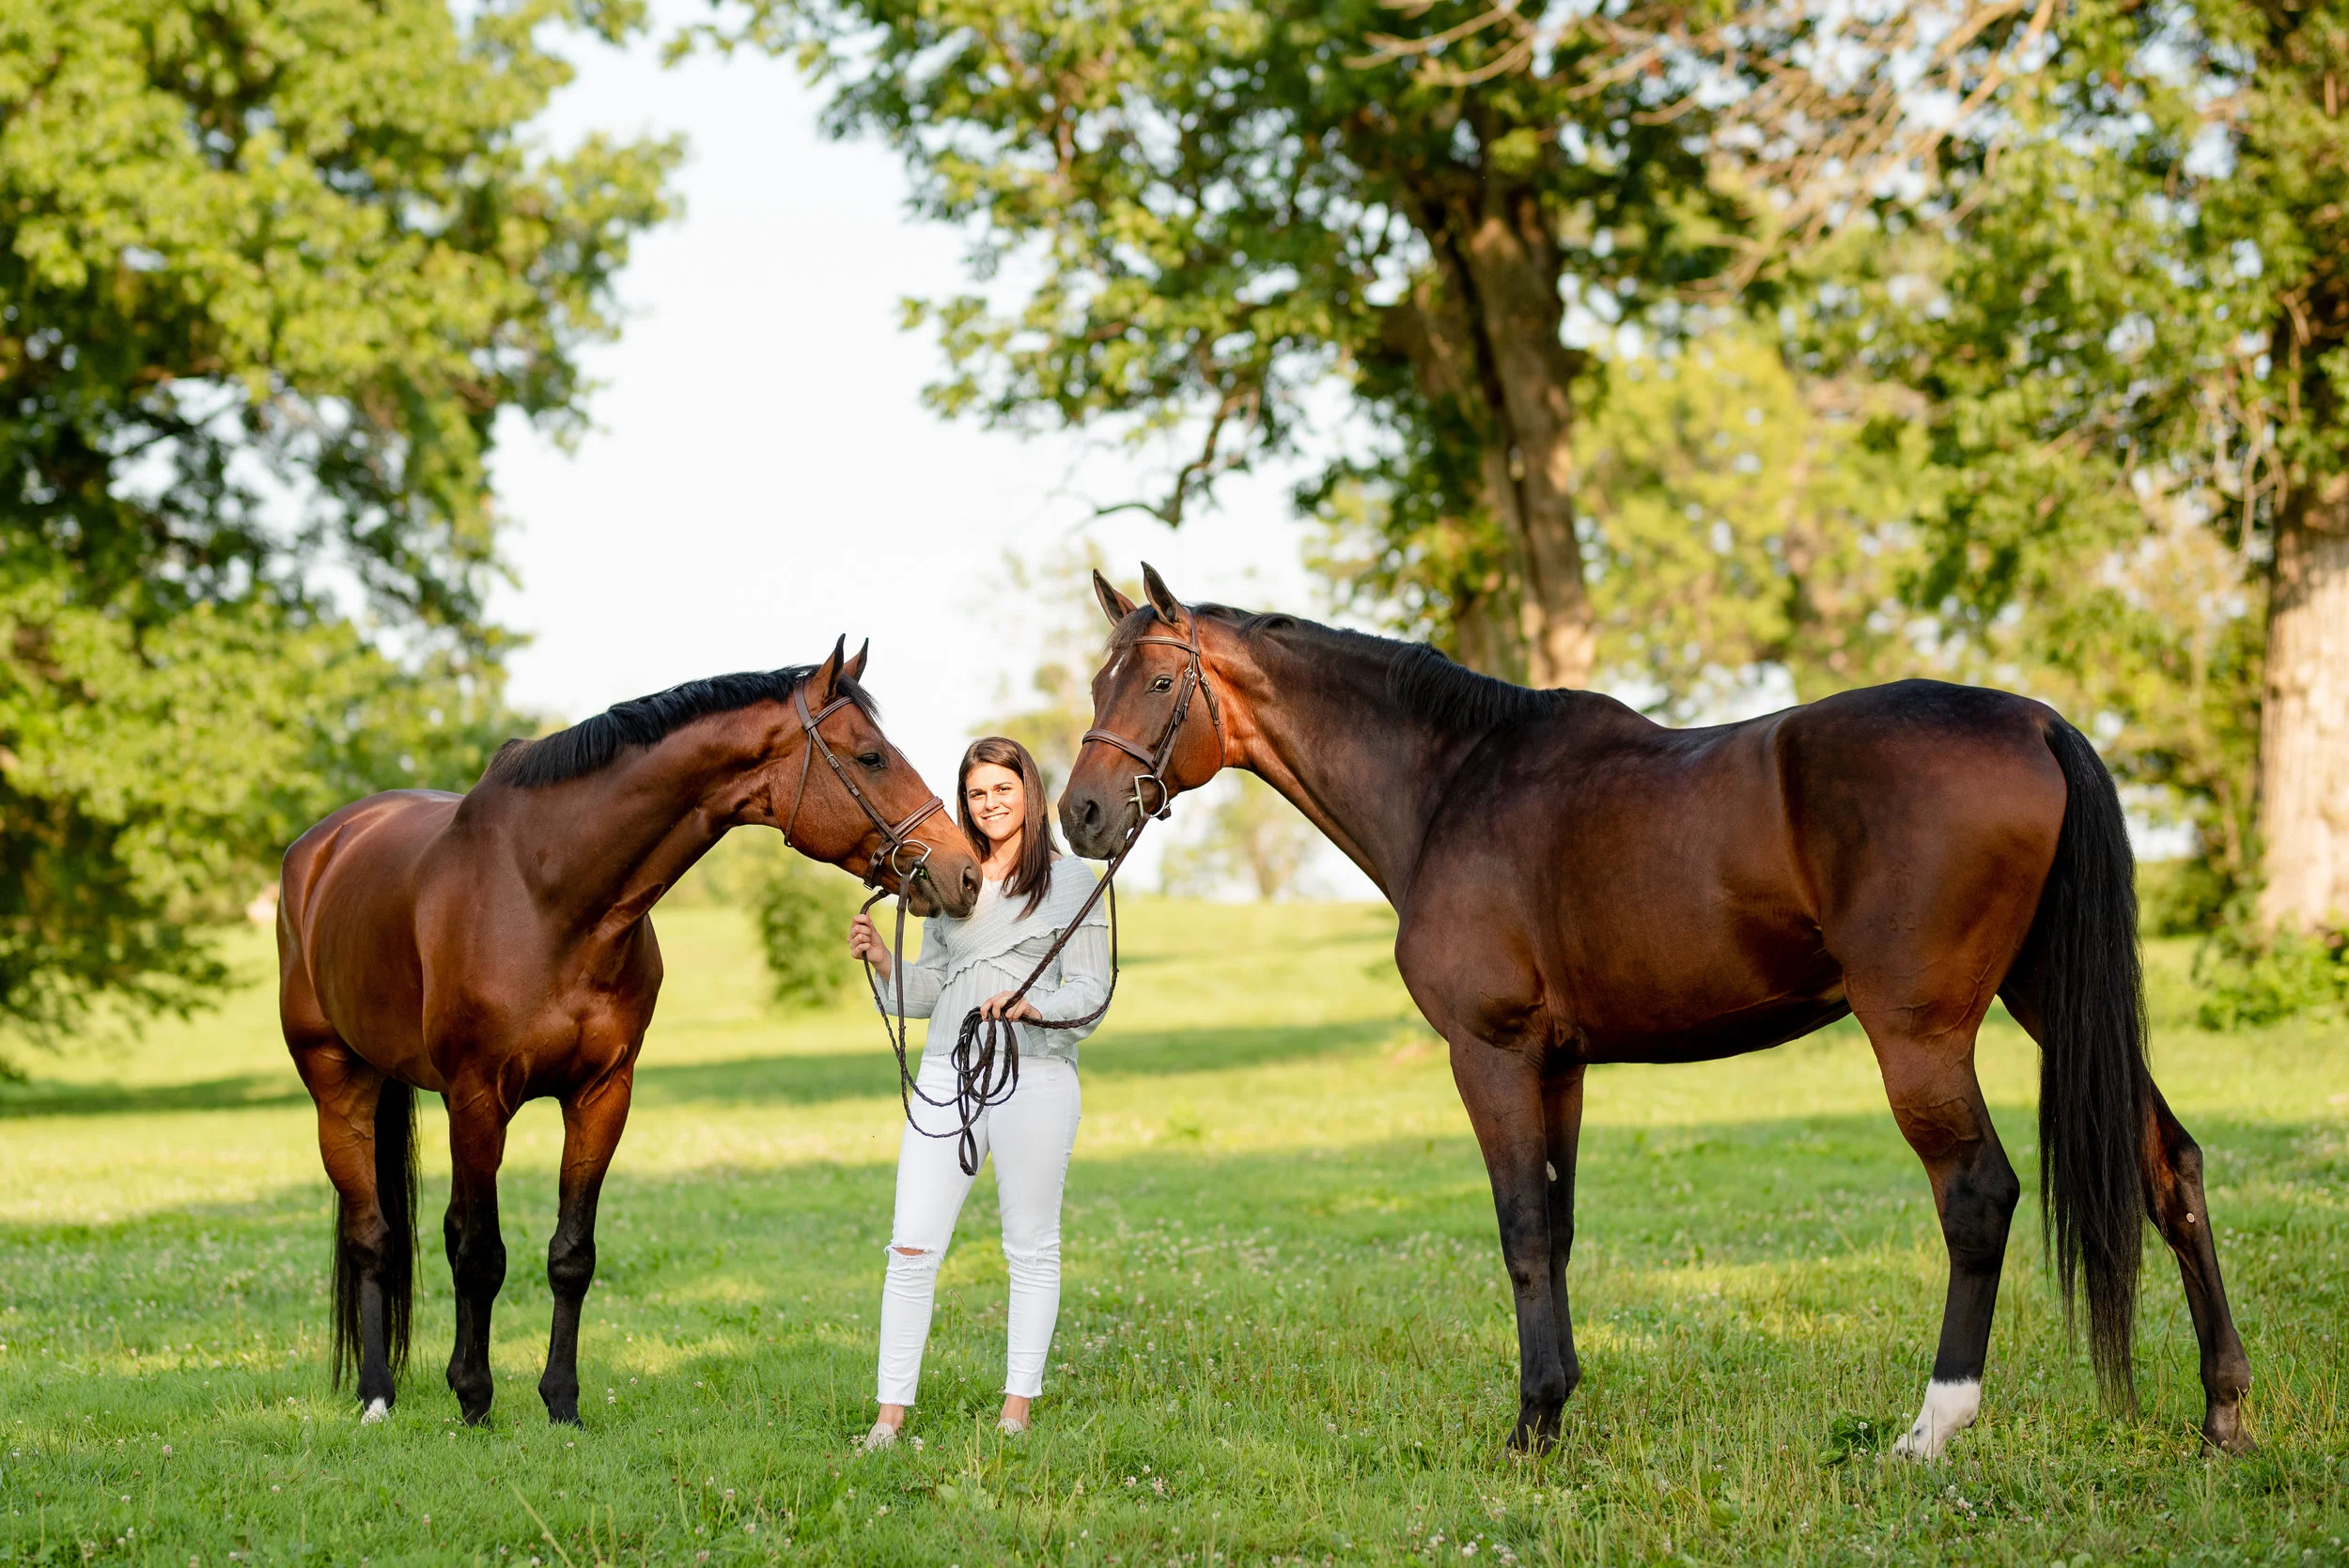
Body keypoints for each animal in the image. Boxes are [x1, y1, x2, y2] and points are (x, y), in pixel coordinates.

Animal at [277, 639, 981, 1426]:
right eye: (869, 756)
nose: (966, 872)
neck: (546, 891)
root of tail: (323, 845)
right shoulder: (477, 1099)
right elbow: (479, 1252)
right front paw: (475, 1396)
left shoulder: (603, 1093)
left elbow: (571, 1253)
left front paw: (561, 1401)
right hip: (337, 1085)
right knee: (372, 1236)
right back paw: (376, 1392)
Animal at [1059, 566, 2251, 1459]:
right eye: (1095, 681)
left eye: (1158, 679)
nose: (1081, 813)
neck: (1453, 786)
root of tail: (2038, 722)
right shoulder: (1560, 1063)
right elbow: (1557, 1228)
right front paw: (1558, 1405)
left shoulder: (1489, 1053)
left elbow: (1520, 1229)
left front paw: (1529, 1427)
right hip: (2045, 997)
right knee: (2167, 1163)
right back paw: (2222, 1411)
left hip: (1921, 1033)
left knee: (1976, 1195)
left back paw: (1932, 1425)